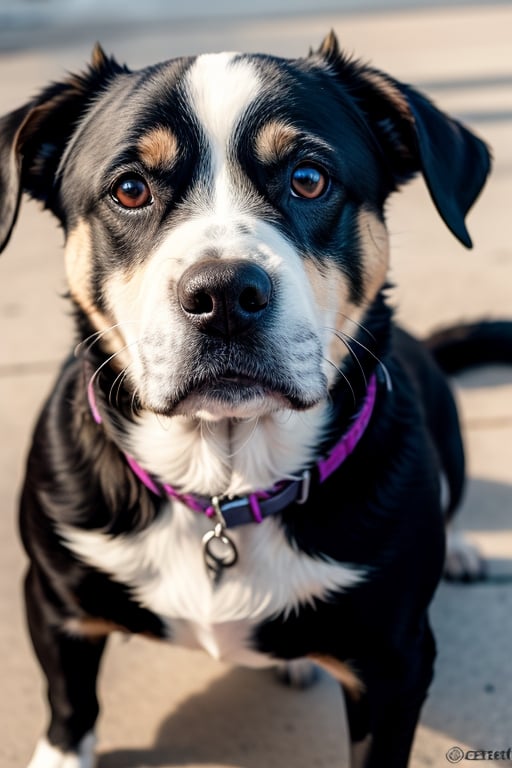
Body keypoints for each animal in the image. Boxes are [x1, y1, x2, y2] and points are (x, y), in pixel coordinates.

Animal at [0, 30, 508, 768]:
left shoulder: (397, 663)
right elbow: (70, 701)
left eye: (308, 178)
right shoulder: (52, 597)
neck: (225, 477)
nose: (222, 296)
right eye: (130, 189)